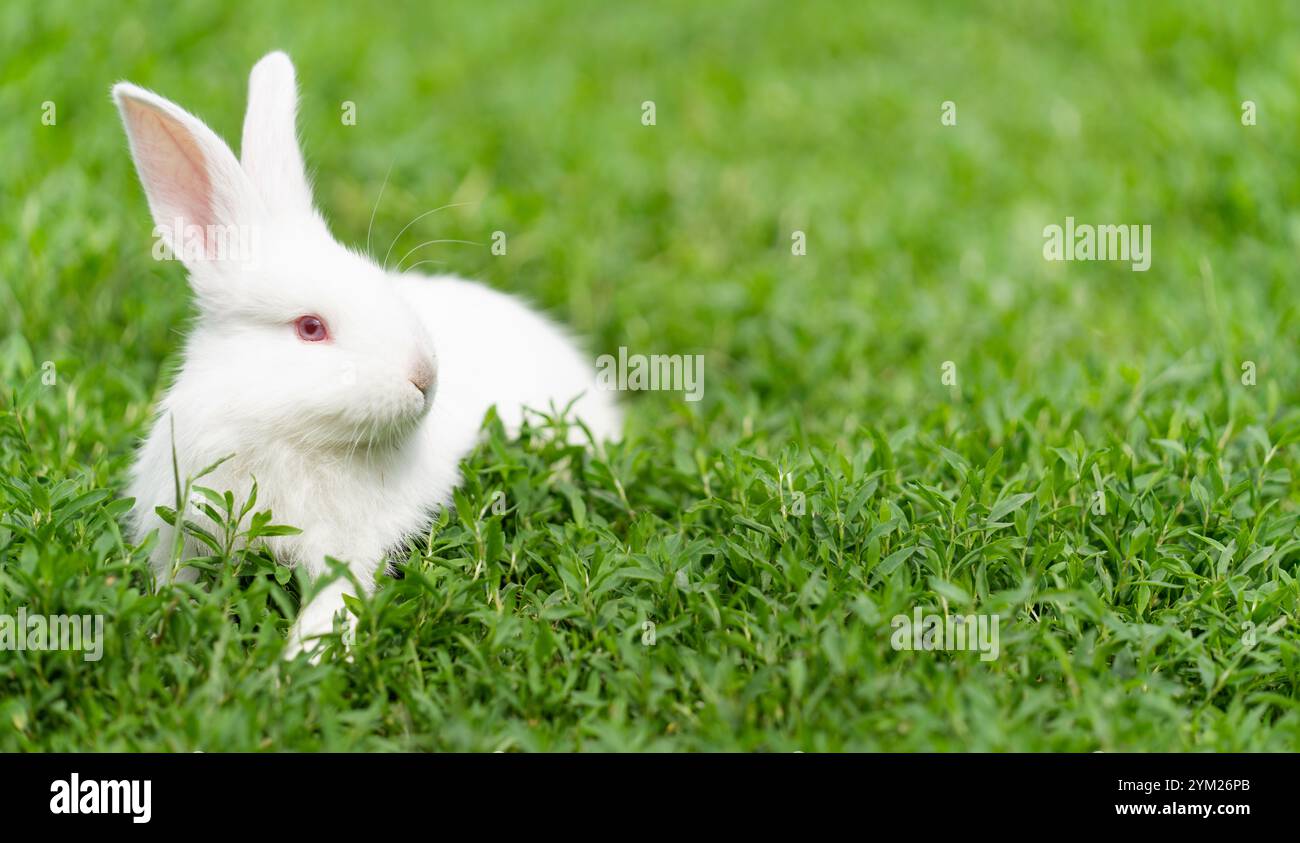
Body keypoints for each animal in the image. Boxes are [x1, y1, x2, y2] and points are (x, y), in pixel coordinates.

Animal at [114, 51, 621, 659]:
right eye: (311, 328)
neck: (288, 437)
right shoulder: (176, 528)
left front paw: (299, 662)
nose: (425, 377)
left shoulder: (346, 549)